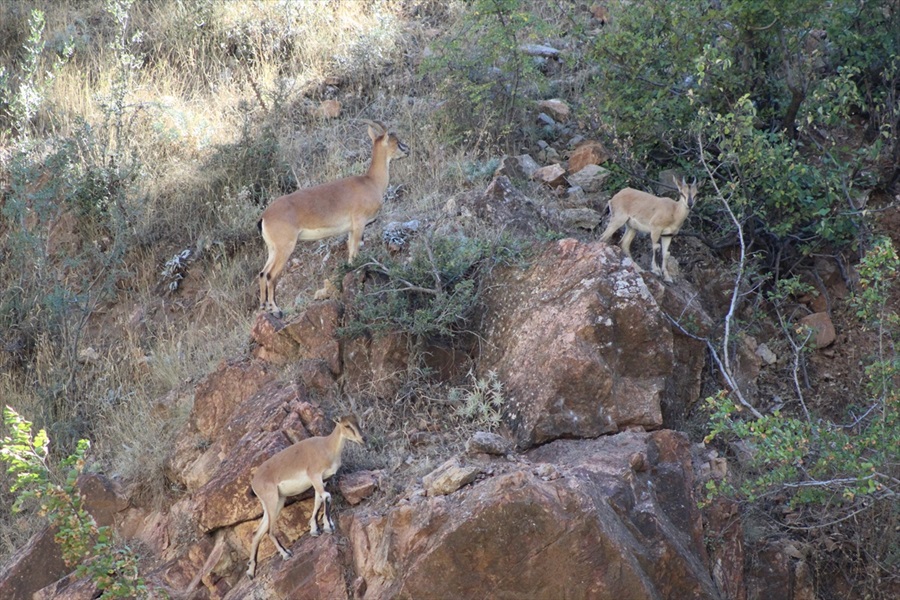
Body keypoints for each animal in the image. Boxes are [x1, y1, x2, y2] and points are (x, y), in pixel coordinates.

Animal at [244, 414, 364, 580]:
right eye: (346, 425)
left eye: (358, 422)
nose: (363, 439)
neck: (326, 447)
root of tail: (254, 483)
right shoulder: (315, 476)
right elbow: (327, 496)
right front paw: (329, 527)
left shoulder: (322, 480)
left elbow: (318, 500)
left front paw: (315, 529)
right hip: (272, 501)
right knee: (270, 531)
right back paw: (286, 554)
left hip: (276, 503)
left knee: (257, 533)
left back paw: (251, 571)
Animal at [258, 122, 410, 318]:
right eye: (396, 141)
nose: (407, 150)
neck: (371, 182)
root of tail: (264, 217)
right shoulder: (359, 224)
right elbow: (354, 253)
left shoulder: (351, 230)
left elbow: (351, 252)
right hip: (285, 248)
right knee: (270, 275)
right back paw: (276, 310)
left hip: (273, 249)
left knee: (262, 273)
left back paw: (264, 307)